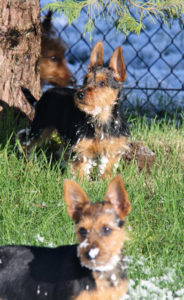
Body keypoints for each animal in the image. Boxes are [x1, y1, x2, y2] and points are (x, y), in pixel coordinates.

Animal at [18, 42, 129, 178]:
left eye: (102, 83)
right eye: (86, 80)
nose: (80, 94)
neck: (100, 117)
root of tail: (42, 97)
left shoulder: (112, 148)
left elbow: (107, 169)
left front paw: (105, 180)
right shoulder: (82, 149)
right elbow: (81, 170)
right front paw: (81, 181)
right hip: (40, 127)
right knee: (27, 143)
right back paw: (28, 163)